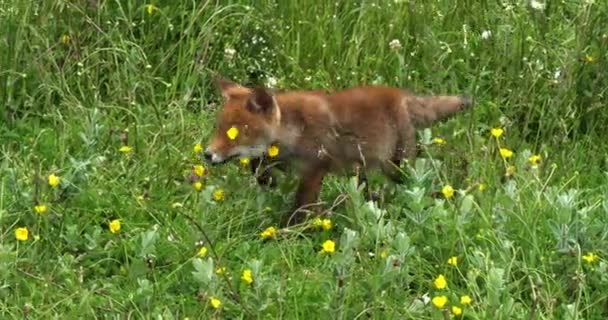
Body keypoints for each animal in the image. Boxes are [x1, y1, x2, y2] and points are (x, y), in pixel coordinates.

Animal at [207, 77, 472, 226]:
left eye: (235, 133)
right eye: (219, 128)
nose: (207, 154)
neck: (295, 131)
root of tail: (402, 95)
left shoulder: (315, 168)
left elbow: (301, 205)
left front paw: (290, 230)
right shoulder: (282, 159)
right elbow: (258, 164)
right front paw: (266, 180)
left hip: (398, 167)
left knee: (414, 184)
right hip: (365, 168)